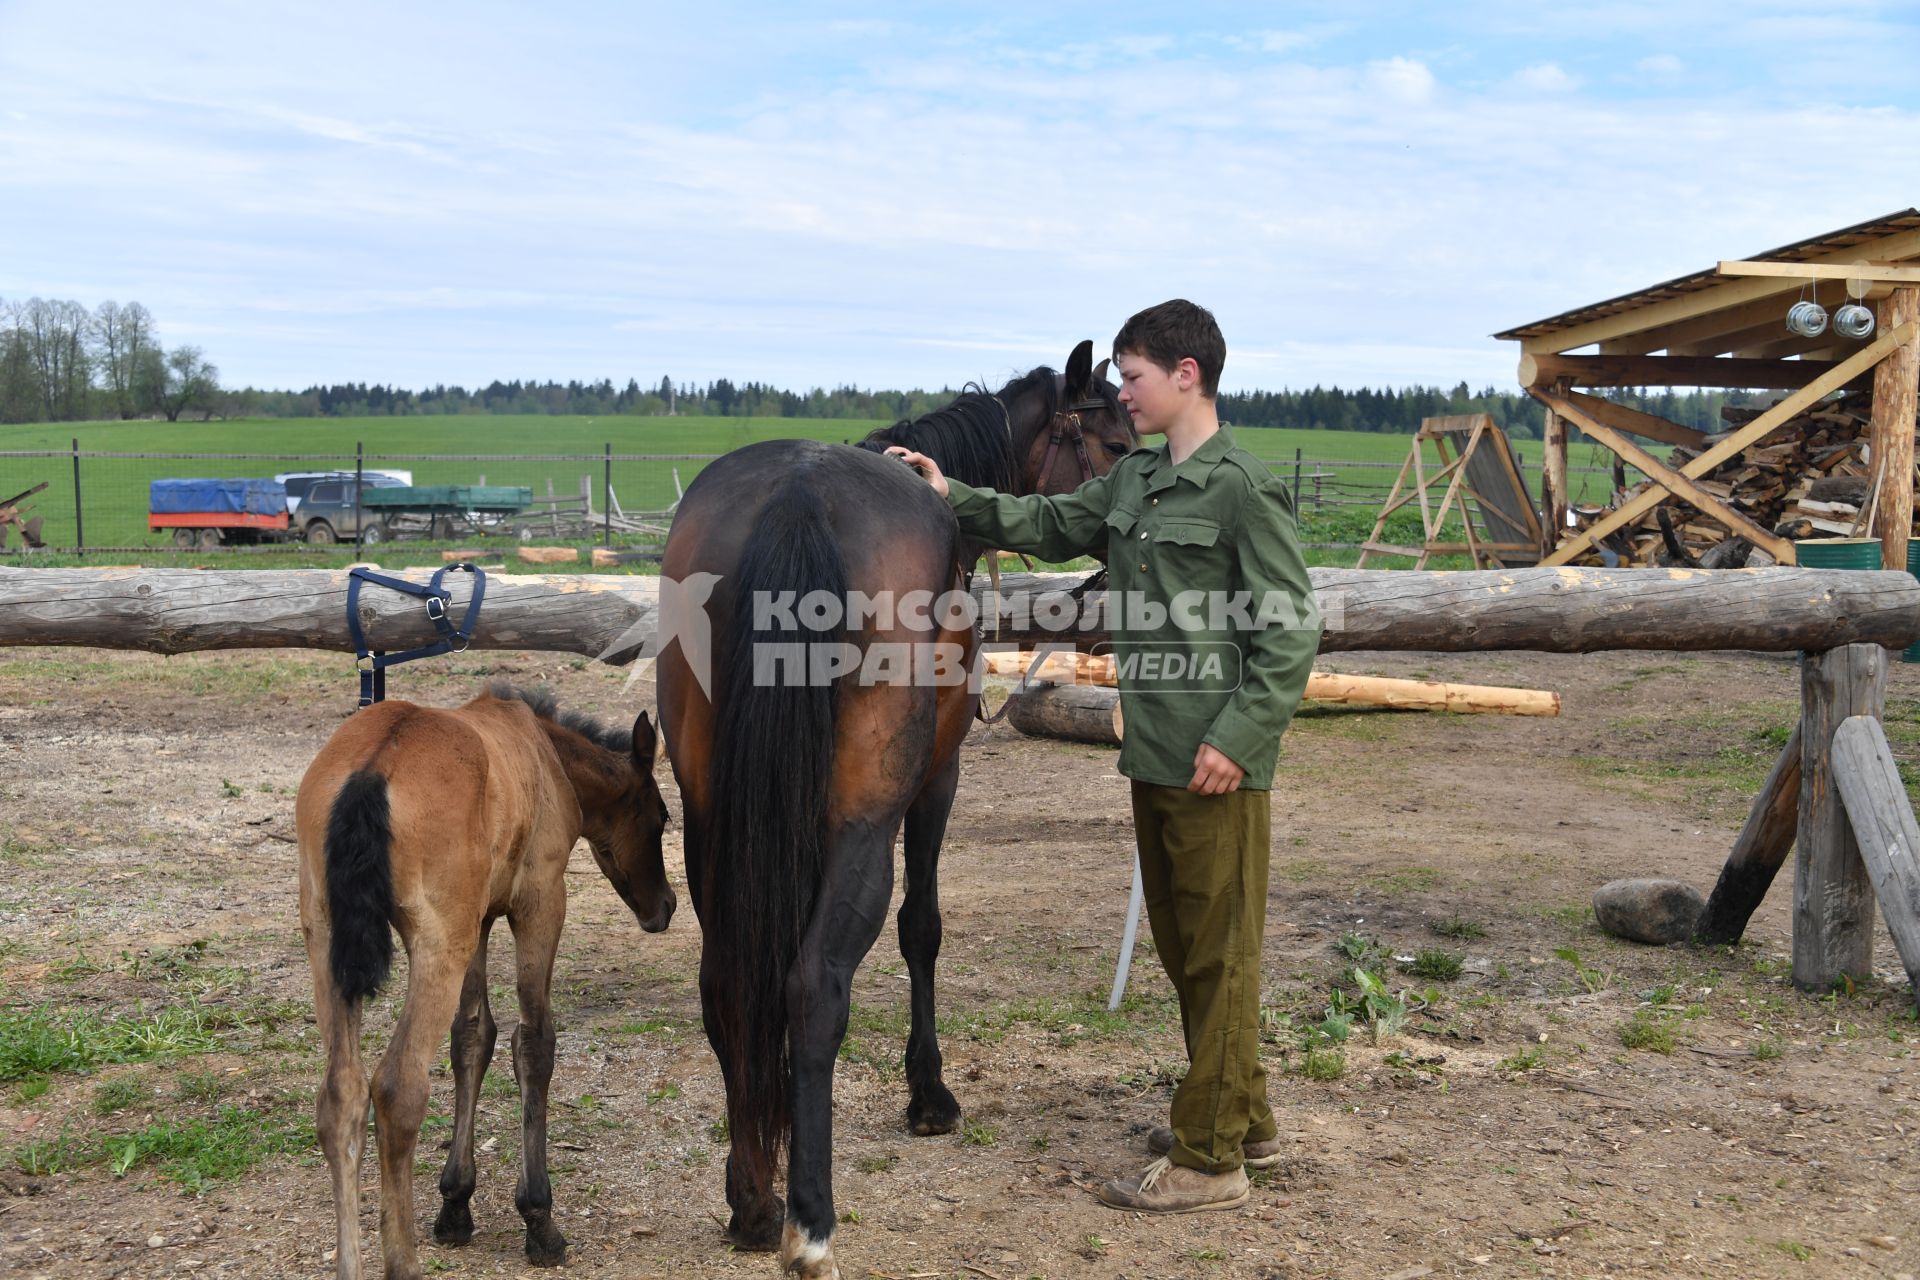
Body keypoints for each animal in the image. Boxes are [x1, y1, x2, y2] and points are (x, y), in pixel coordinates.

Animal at [297, 690, 675, 1280]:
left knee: (341, 1096)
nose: (666, 906)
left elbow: (473, 1036)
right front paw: (539, 1218)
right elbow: (534, 1041)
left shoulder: (478, 922)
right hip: (437, 943)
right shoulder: (540, 900)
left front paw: (455, 1203)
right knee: (398, 1088)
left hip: (326, 942)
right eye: (661, 816)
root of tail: (371, 771)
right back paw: (403, 1261)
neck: (548, 756)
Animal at [660, 343, 1136, 1280]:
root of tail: (799, 495)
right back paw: (810, 1224)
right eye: (1113, 436)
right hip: (864, 823)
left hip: (709, 822)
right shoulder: (937, 783)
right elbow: (924, 927)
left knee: (727, 981)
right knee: (815, 986)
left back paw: (754, 1202)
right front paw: (929, 1094)